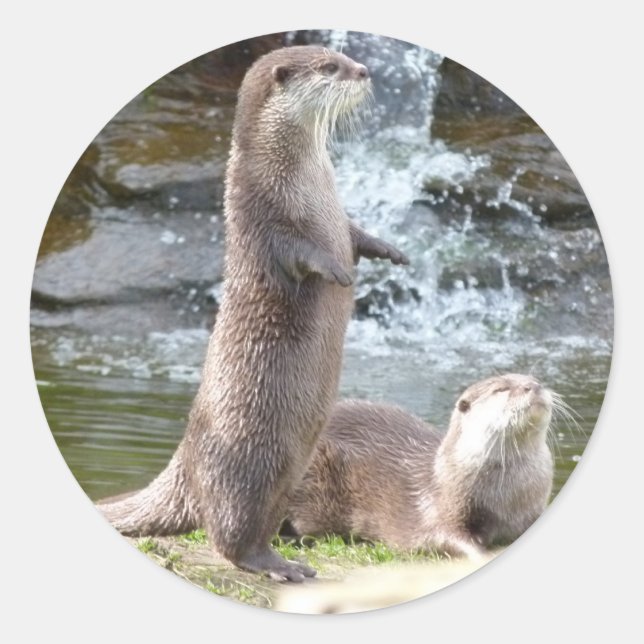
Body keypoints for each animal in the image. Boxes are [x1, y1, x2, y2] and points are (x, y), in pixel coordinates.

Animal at [97, 46, 408, 582]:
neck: (306, 181)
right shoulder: (261, 214)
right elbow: (299, 251)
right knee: (229, 533)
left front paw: (388, 249)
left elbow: (354, 232)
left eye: (343, 57)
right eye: (329, 67)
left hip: (293, 467)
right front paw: (336, 270)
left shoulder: (336, 215)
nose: (366, 70)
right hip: (243, 464)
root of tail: (185, 461)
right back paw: (277, 567)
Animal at [284, 374, 555, 558]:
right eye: (501, 389)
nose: (534, 386)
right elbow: (447, 537)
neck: (511, 495)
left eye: (534, 379)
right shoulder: (443, 508)